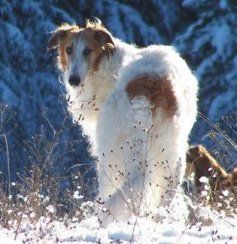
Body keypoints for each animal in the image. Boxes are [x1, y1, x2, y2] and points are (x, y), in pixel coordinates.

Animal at [48, 19, 198, 225]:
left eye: (88, 50)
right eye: (68, 49)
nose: (74, 80)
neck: (105, 63)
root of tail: (150, 86)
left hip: (111, 152)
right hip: (172, 150)